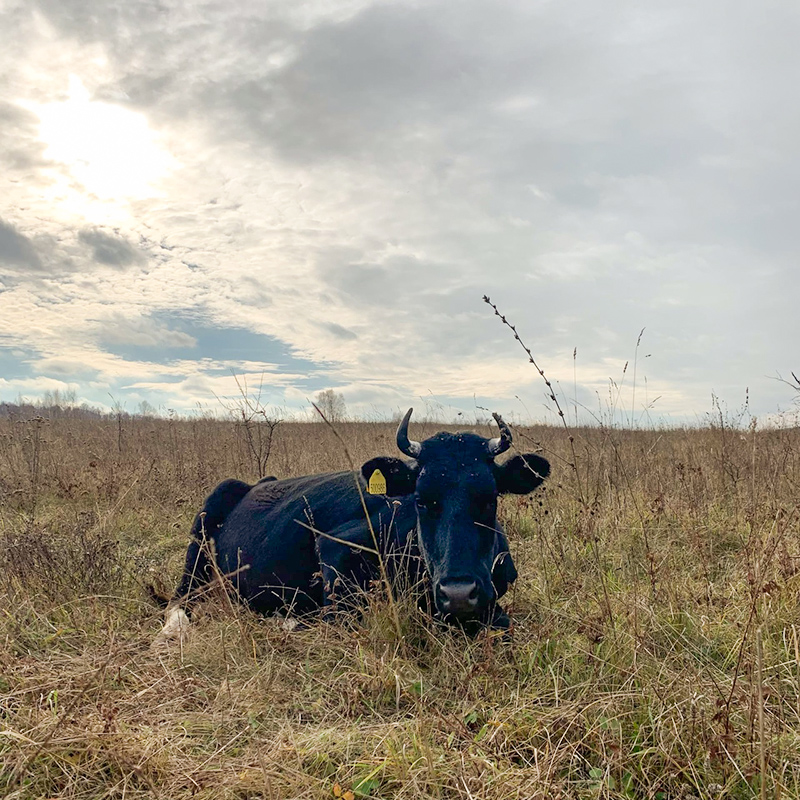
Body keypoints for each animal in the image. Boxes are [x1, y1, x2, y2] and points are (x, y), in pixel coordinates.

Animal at [161, 406, 552, 636]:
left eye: (490, 499)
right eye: (421, 500)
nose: (457, 594)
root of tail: (256, 483)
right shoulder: (334, 547)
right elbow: (340, 618)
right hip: (204, 526)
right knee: (182, 596)